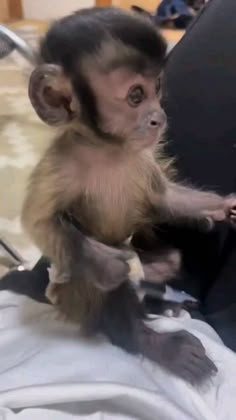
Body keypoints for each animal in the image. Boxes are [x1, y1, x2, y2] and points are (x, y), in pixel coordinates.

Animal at [20, 7, 236, 388]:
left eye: (156, 88)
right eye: (136, 96)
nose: (158, 118)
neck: (108, 149)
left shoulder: (143, 157)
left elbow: (164, 200)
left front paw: (222, 208)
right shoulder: (62, 162)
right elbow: (40, 222)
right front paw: (107, 264)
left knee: (165, 265)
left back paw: (160, 305)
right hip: (70, 293)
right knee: (99, 287)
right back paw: (153, 342)